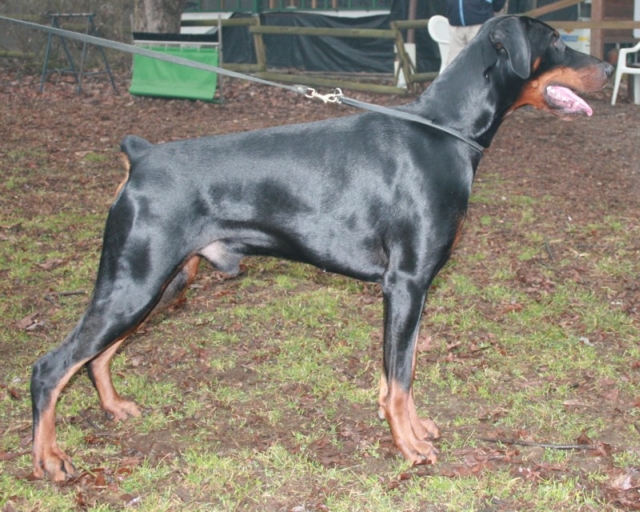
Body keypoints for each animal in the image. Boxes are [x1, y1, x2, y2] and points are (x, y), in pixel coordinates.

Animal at [31, 16, 612, 481]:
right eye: (555, 39)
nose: (608, 69)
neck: (442, 131)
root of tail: (141, 156)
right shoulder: (406, 283)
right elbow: (399, 379)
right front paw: (409, 446)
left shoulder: (412, 290)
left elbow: (399, 374)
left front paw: (413, 427)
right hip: (136, 280)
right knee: (51, 367)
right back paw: (50, 459)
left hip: (164, 282)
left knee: (97, 355)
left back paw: (114, 409)